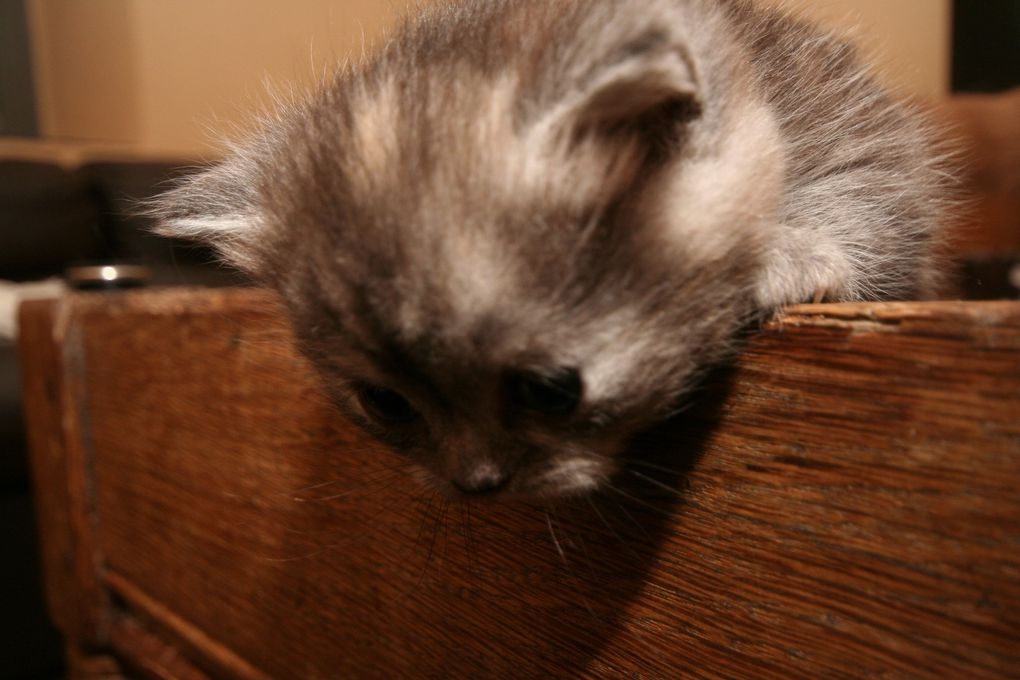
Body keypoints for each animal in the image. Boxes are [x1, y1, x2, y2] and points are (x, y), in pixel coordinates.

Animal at [148, 0, 946, 499]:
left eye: (552, 392)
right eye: (386, 404)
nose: (478, 485)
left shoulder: (866, 133)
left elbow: (881, 201)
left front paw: (792, 251)